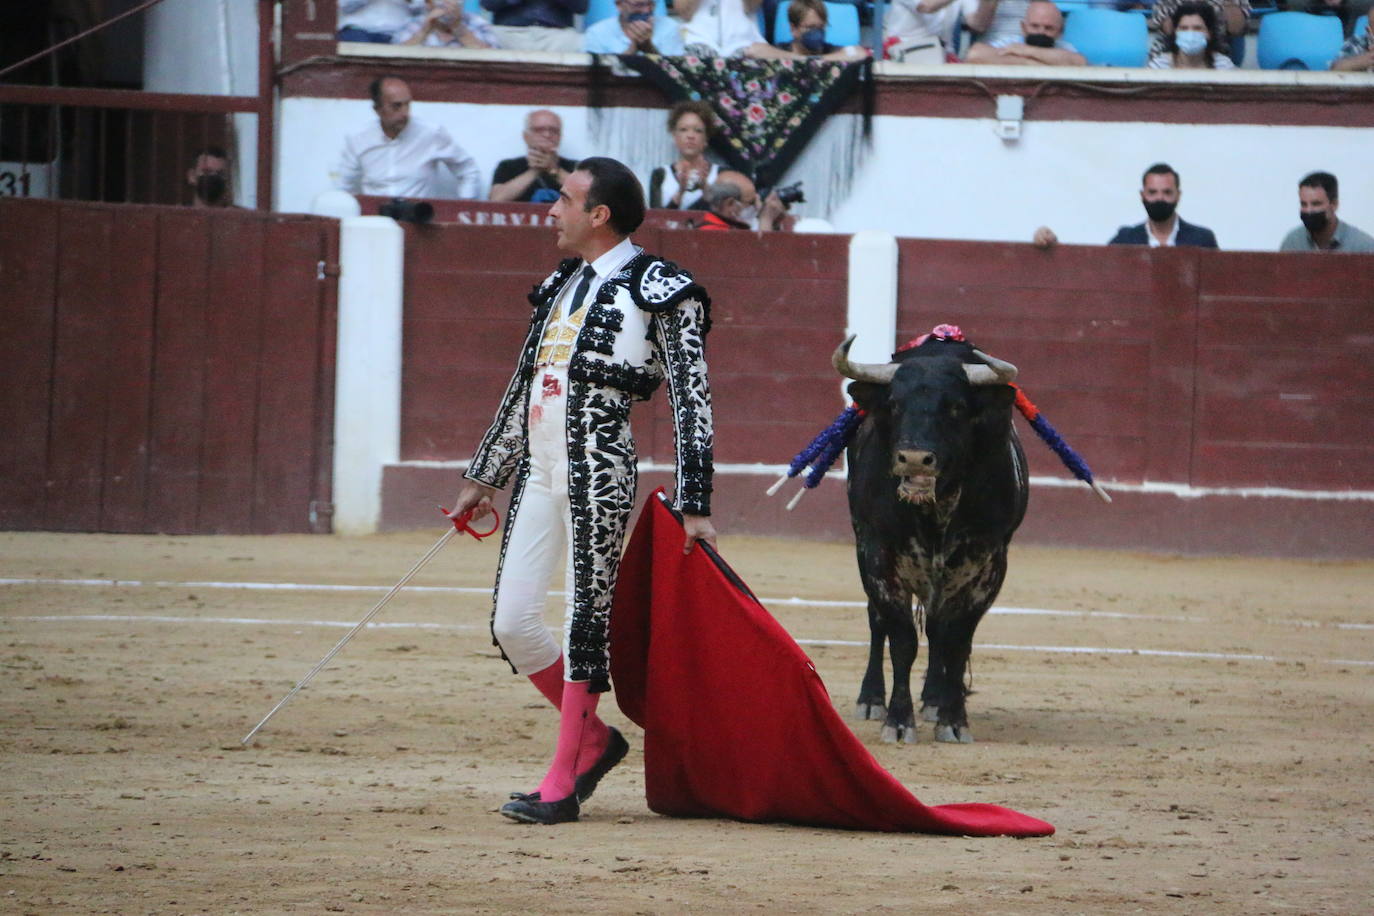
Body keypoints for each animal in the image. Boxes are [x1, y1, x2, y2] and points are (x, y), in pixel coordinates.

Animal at [829, 336, 1027, 747]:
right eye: (894, 404)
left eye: (955, 407)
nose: (915, 458)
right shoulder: (876, 554)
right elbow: (901, 638)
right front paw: (898, 721)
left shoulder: (988, 563)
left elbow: (956, 641)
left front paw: (953, 720)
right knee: (878, 622)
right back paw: (871, 699)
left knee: (938, 632)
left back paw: (935, 700)